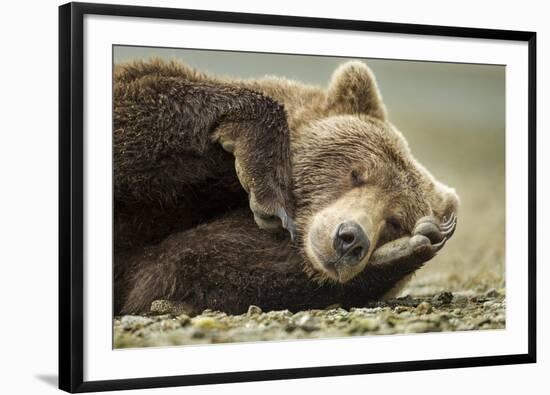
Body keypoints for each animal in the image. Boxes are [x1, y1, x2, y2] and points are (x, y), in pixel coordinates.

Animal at [113, 58, 462, 318]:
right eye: (356, 174)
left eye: (395, 221)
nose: (350, 238)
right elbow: (142, 97)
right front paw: (266, 188)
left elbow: (172, 270)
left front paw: (404, 250)